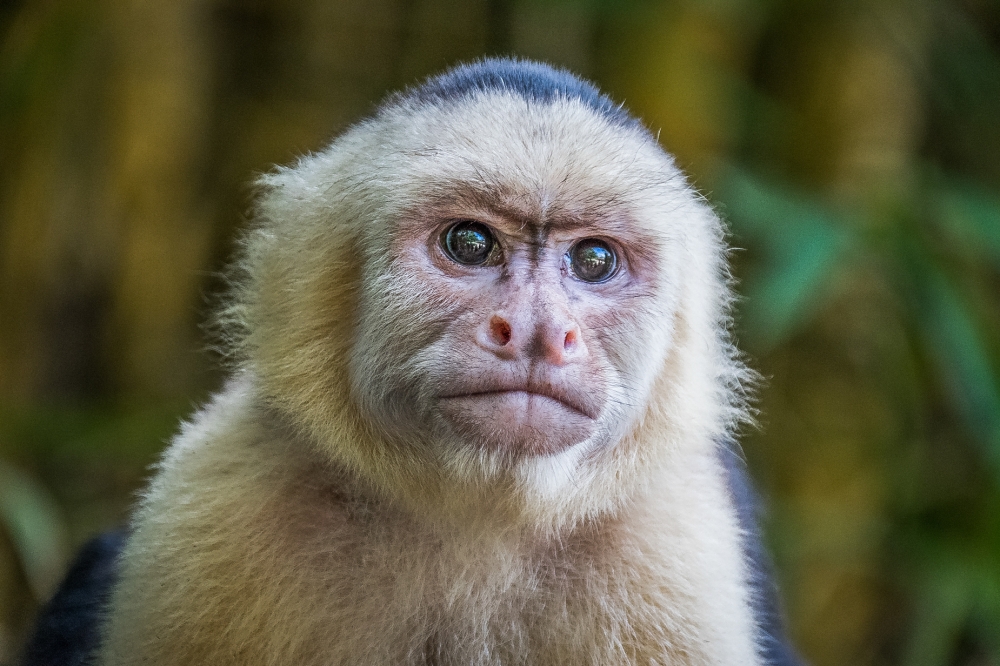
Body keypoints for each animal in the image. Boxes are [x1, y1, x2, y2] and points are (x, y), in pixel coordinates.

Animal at [19, 58, 800, 664]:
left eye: (595, 260)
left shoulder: (672, 541)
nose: (538, 332)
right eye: (470, 244)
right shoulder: (215, 510)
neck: (475, 522)